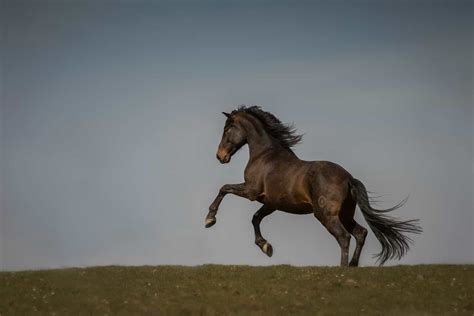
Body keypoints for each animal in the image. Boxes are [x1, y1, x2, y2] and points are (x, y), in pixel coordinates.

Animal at [206, 105, 420, 266]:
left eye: (227, 129)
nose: (220, 156)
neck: (265, 156)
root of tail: (348, 178)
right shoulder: (272, 203)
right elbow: (255, 218)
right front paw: (266, 247)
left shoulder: (251, 191)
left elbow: (224, 188)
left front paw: (209, 219)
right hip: (345, 214)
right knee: (361, 233)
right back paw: (353, 265)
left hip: (325, 215)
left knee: (344, 237)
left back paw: (343, 268)